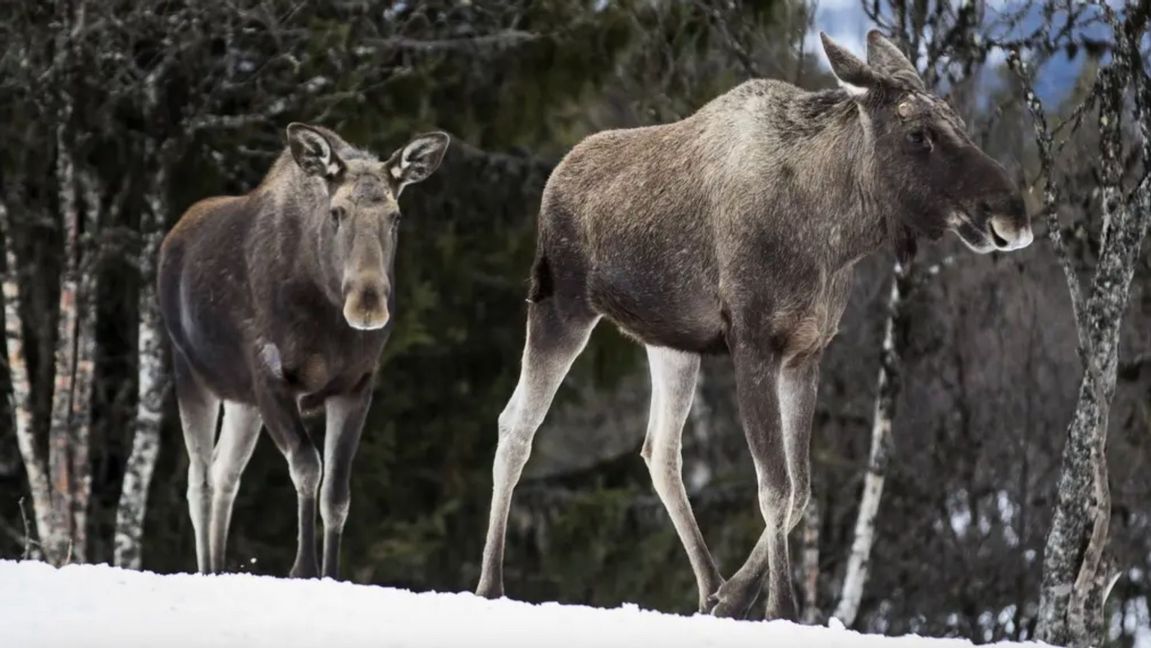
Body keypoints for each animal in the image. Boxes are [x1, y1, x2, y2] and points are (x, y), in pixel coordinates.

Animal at [159, 122, 446, 577]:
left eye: (395, 216)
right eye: (336, 212)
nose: (367, 304)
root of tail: (172, 237)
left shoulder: (354, 387)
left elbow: (337, 494)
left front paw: (331, 571)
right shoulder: (273, 379)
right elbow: (308, 467)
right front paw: (303, 566)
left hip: (243, 402)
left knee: (225, 473)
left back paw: (220, 566)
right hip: (190, 371)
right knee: (199, 479)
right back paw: (207, 568)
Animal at [476, 31, 1035, 616]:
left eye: (959, 122)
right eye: (917, 134)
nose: (1012, 214)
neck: (835, 235)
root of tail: (553, 179)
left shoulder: (805, 352)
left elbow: (801, 489)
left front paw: (735, 597)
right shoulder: (753, 342)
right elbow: (775, 488)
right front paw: (780, 608)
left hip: (671, 344)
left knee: (660, 450)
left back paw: (709, 586)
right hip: (561, 308)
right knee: (516, 426)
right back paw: (491, 583)